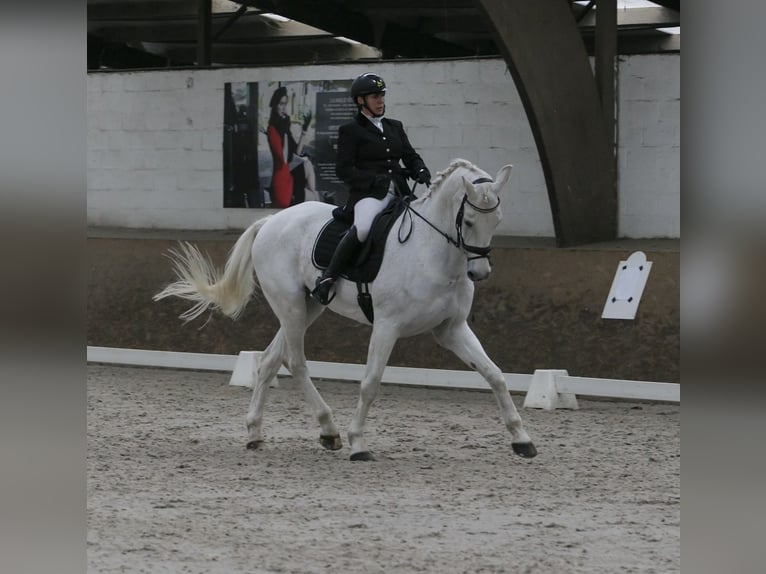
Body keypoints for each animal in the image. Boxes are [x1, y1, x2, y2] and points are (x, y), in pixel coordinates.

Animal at [154, 159, 540, 464]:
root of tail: (273, 220)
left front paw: (522, 440)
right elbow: (370, 383)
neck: (432, 253)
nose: (480, 273)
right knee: (295, 361)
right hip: (290, 305)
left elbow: (494, 375)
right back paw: (329, 429)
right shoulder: (387, 325)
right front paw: (358, 444)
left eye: (498, 219)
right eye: (470, 221)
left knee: (270, 360)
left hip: (308, 306)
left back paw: (256, 434)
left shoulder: (451, 328)